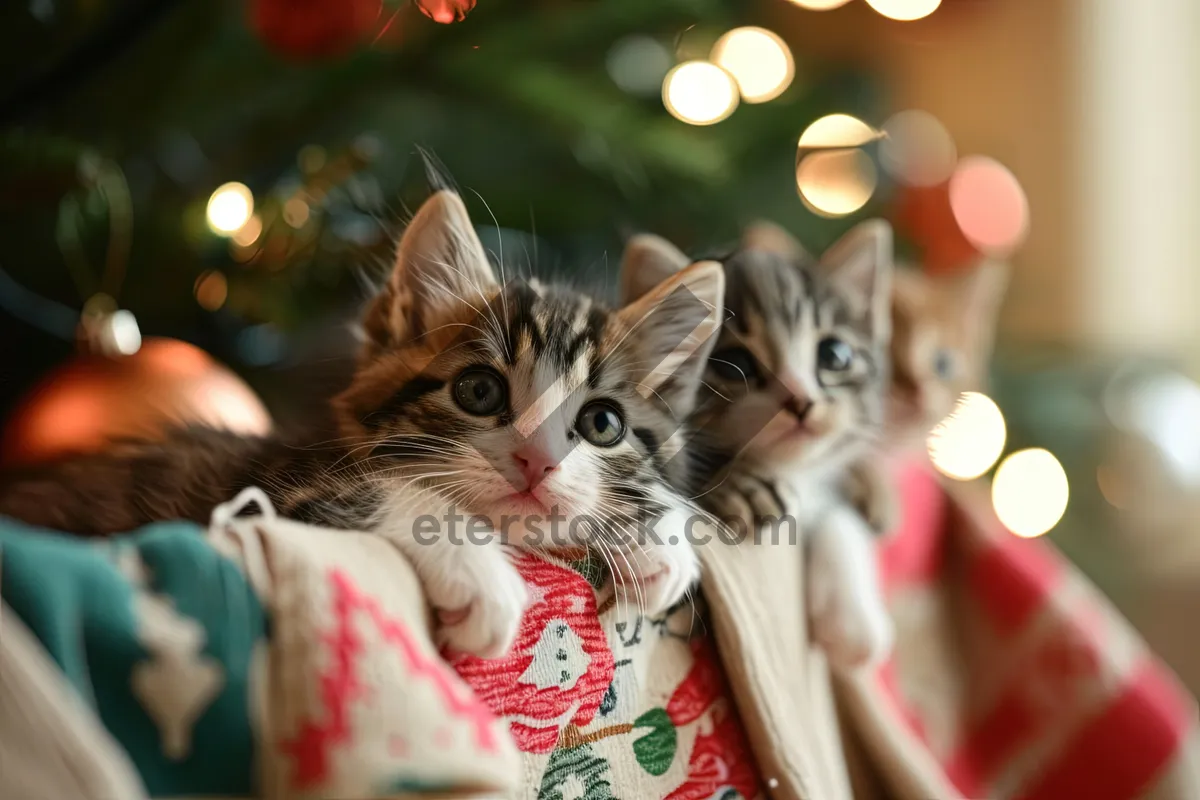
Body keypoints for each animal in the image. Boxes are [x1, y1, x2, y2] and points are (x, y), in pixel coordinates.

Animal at [0, 190, 720, 662]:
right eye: (479, 390)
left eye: (602, 423)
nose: (536, 461)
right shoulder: (271, 492)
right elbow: (383, 490)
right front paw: (476, 571)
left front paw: (656, 540)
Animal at [624, 220, 897, 671]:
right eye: (735, 363)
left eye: (834, 355)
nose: (801, 400)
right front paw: (740, 487)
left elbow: (836, 514)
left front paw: (853, 623)